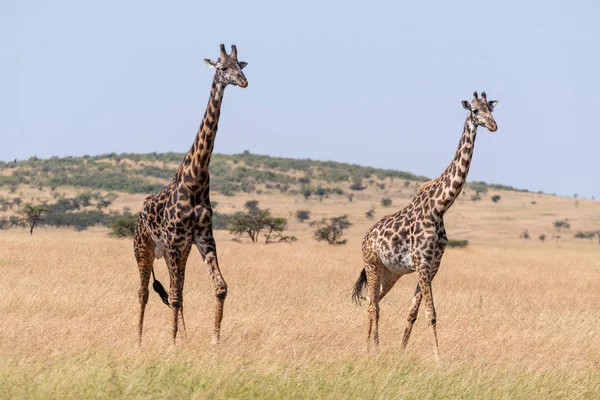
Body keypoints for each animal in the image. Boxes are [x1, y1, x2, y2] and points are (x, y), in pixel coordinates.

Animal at [134, 43, 248, 344]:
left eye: (241, 65)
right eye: (223, 67)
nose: (244, 81)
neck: (195, 178)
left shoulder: (202, 237)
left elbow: (220, 287)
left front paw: (214, 341)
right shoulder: (175, 240)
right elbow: (173, 296)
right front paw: (172, 344)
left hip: (175, 251)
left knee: (177, 290)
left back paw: (182, 337)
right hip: (144, 248)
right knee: (144, 292)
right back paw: (138, 341)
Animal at [350, 90, 500, 360]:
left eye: (491, 109)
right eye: (475, 110)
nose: (493, 126)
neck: (439, 207)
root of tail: (366, 237)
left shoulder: (432, 266)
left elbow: (413, 314)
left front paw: (402, 351)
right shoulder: (421, 262)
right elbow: (431, 314)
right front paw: (438, 359)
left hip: (392, 271)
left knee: (374, 300)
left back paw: (373, 346)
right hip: (372, 264)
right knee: (372, 304)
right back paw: (369, 349)